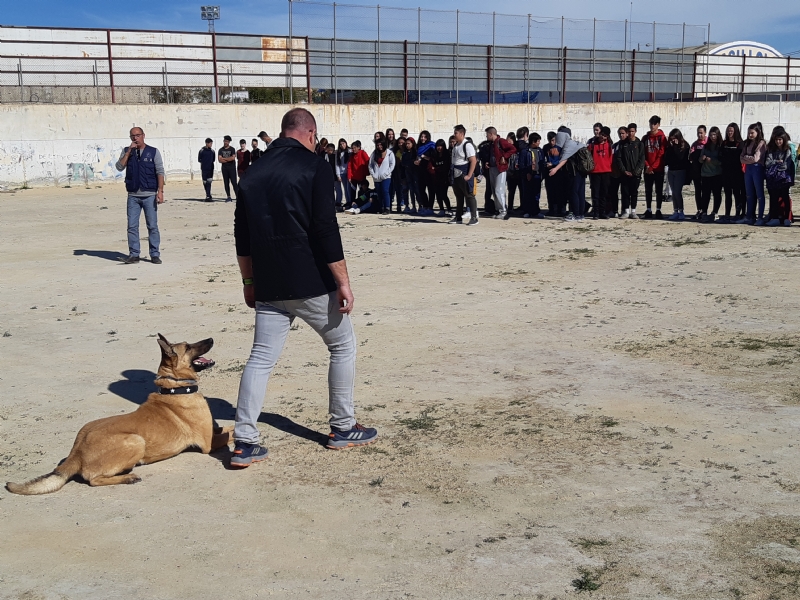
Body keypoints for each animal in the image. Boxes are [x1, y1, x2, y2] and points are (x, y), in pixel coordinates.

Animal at [6, 332, 233, 496]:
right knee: (93, 480)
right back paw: (127, 477)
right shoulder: (209, 443)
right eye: (188, 347)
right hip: (135, 440)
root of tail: (75, 453)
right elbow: (231, 432)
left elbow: (230, 427)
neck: (175, 388)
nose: (211, 339)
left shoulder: (215, 430)